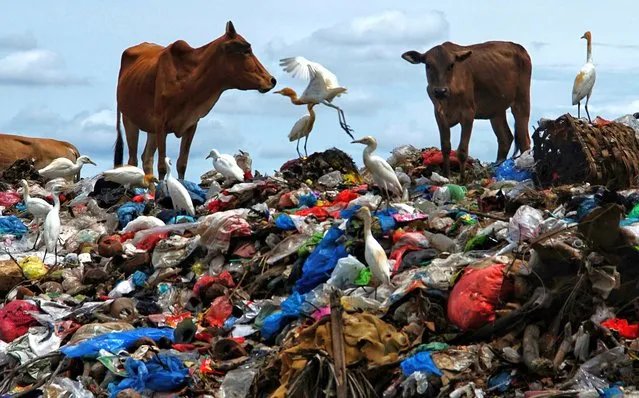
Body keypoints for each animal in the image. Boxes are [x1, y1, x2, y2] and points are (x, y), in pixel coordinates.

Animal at [115, 20, 278, 179]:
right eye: (246, 50)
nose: (272, 80)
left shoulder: (191, 124)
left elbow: (182, 164)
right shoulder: (161, 123)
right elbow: (162, 166)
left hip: (151, 130)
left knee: (147, 158)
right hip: (129, 119)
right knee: (133, 160)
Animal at [402, 40, 532, 180]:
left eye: (451, 65)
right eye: (428, 65)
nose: (440, 91)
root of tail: (519, 47)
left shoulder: (468, 113)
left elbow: (463, 150)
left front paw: (462, 178)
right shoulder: (439, 114)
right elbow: (445, 146)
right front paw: (446, 175)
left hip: (522, 101)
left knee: (524, 140)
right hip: (496, 110)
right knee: (505, 138)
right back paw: (497, 166)